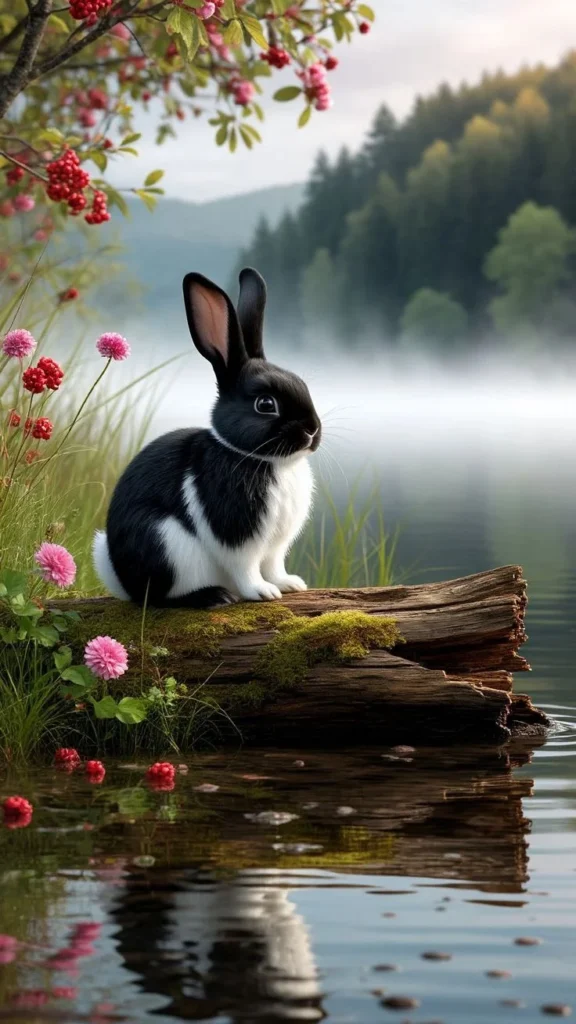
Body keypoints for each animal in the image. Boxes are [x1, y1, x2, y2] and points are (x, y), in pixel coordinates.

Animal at [93, 268, 321, 608]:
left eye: (302, 386)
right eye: (266, 404)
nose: (312, 430)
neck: (267, 461)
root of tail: (124, 582)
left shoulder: (275, 546)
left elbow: (274, 565)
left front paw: (290, 584)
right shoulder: (238, 537)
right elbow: (247, 567)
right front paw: (263, 592)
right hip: (166, 544)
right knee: (160, 598)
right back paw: (215, 595)